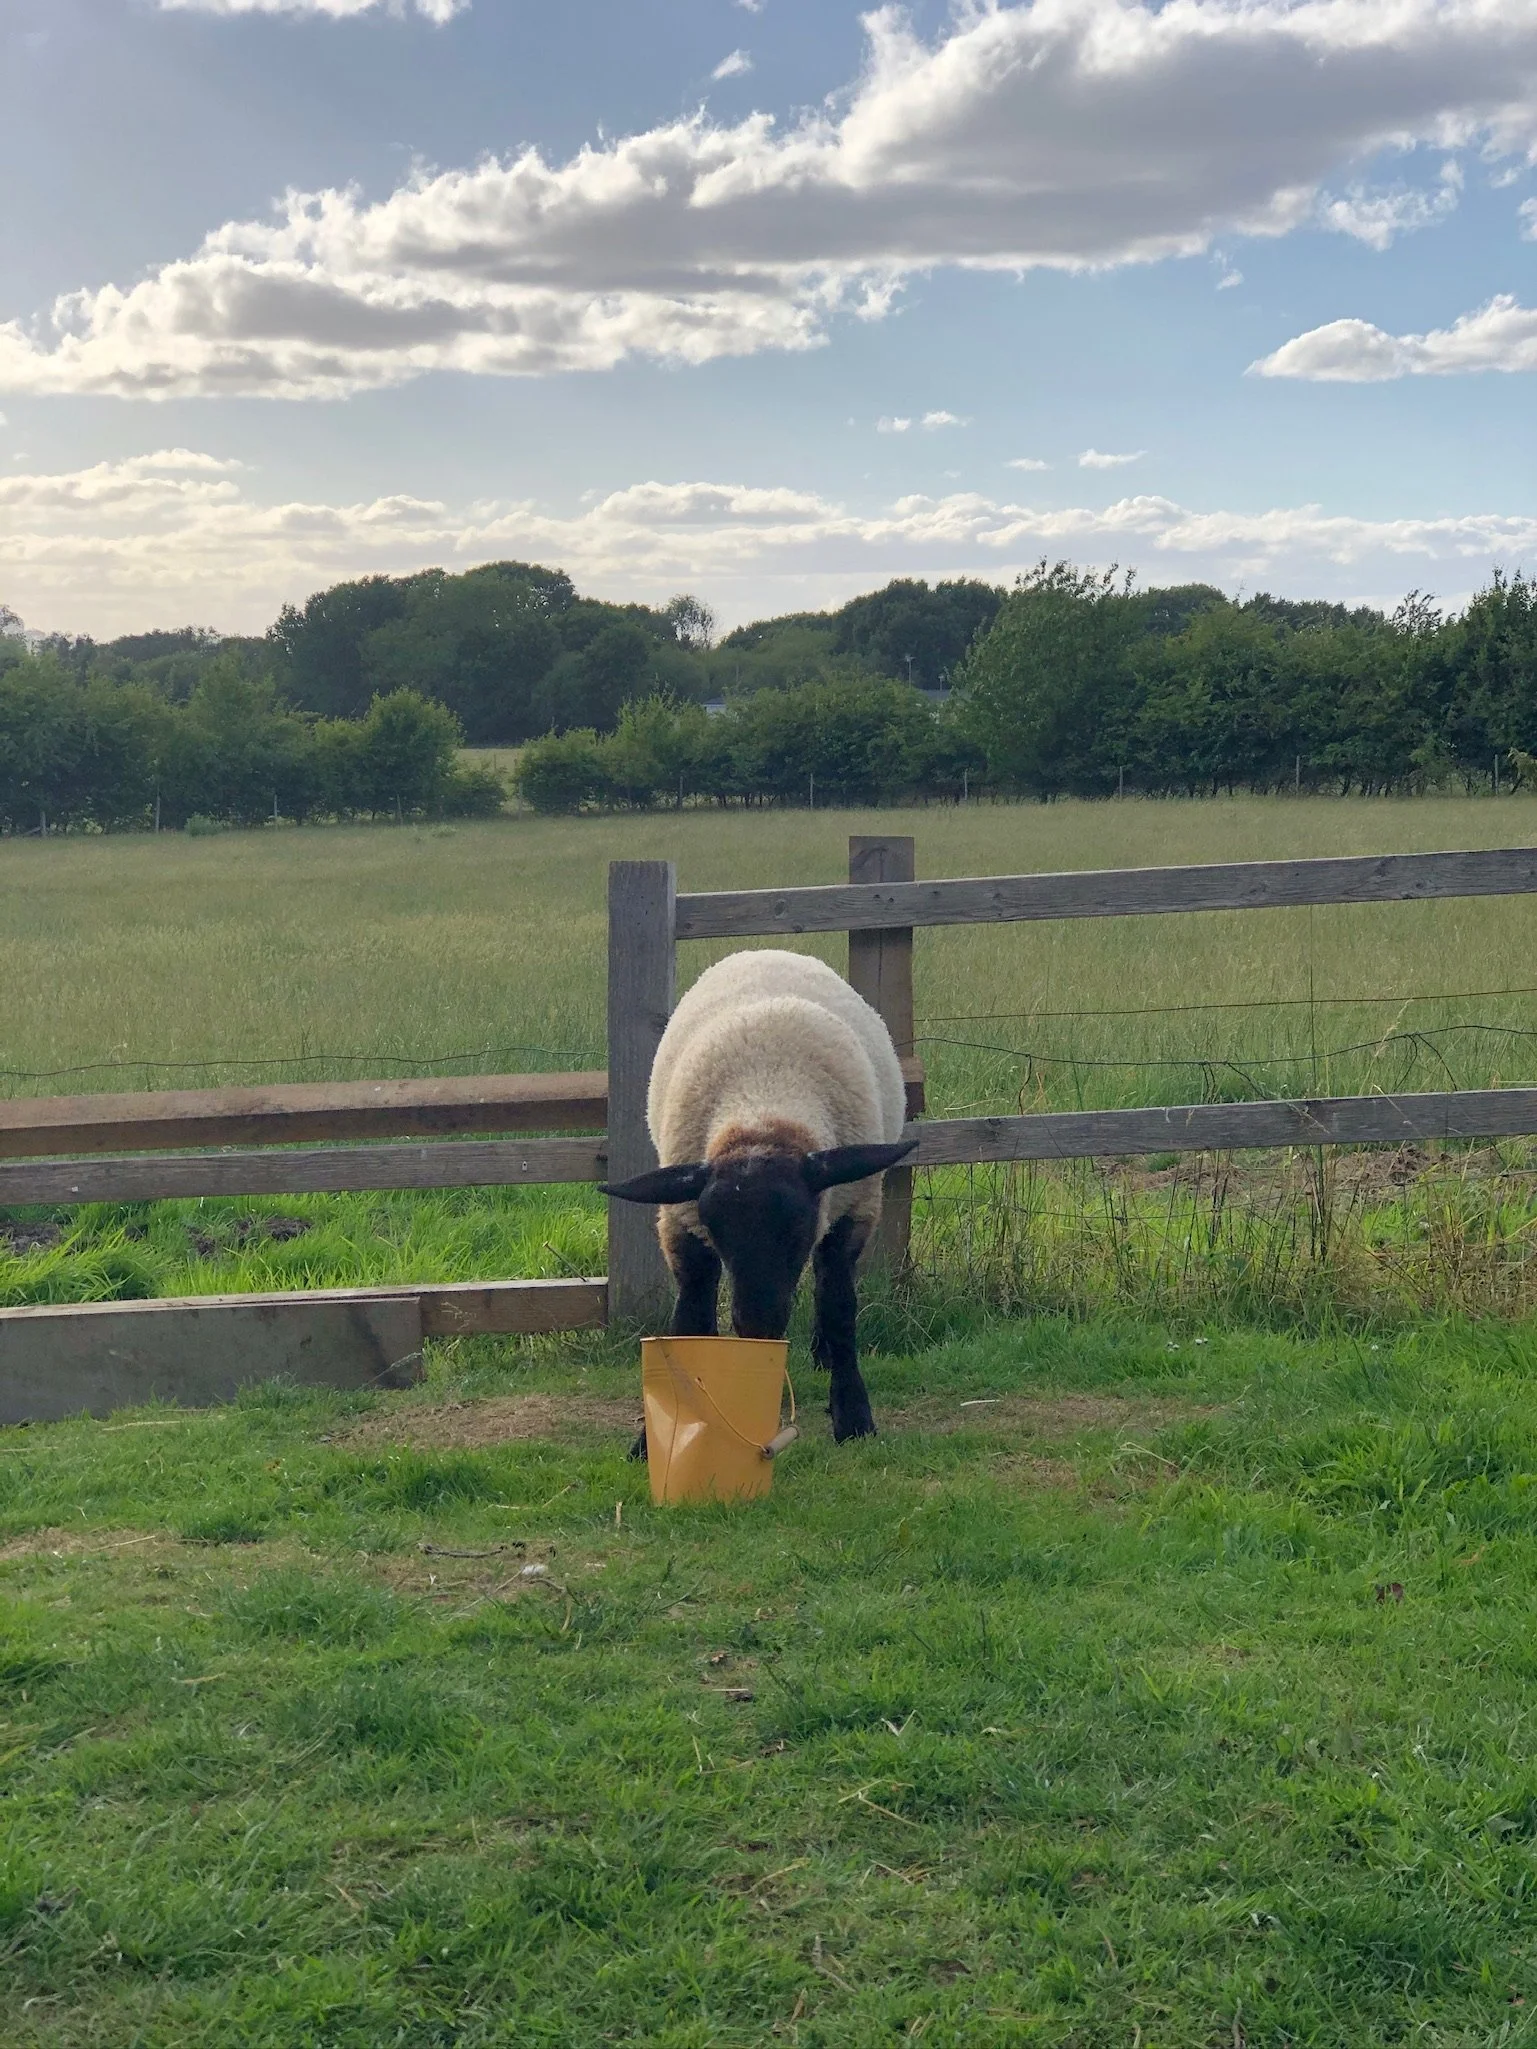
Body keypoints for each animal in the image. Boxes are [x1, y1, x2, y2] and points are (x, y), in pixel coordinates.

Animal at [601, 949, 917, 1445]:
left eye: (798, 1228)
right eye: (716, 1229)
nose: (757, 1327)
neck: (762, 1109)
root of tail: (770, 950)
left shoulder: (851, 1215)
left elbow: (840, 1307)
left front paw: (853, 1415)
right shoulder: (681, 1222)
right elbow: (690, 1314)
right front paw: (653, 1439)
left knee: (827, 1286)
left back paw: (823, 1355)